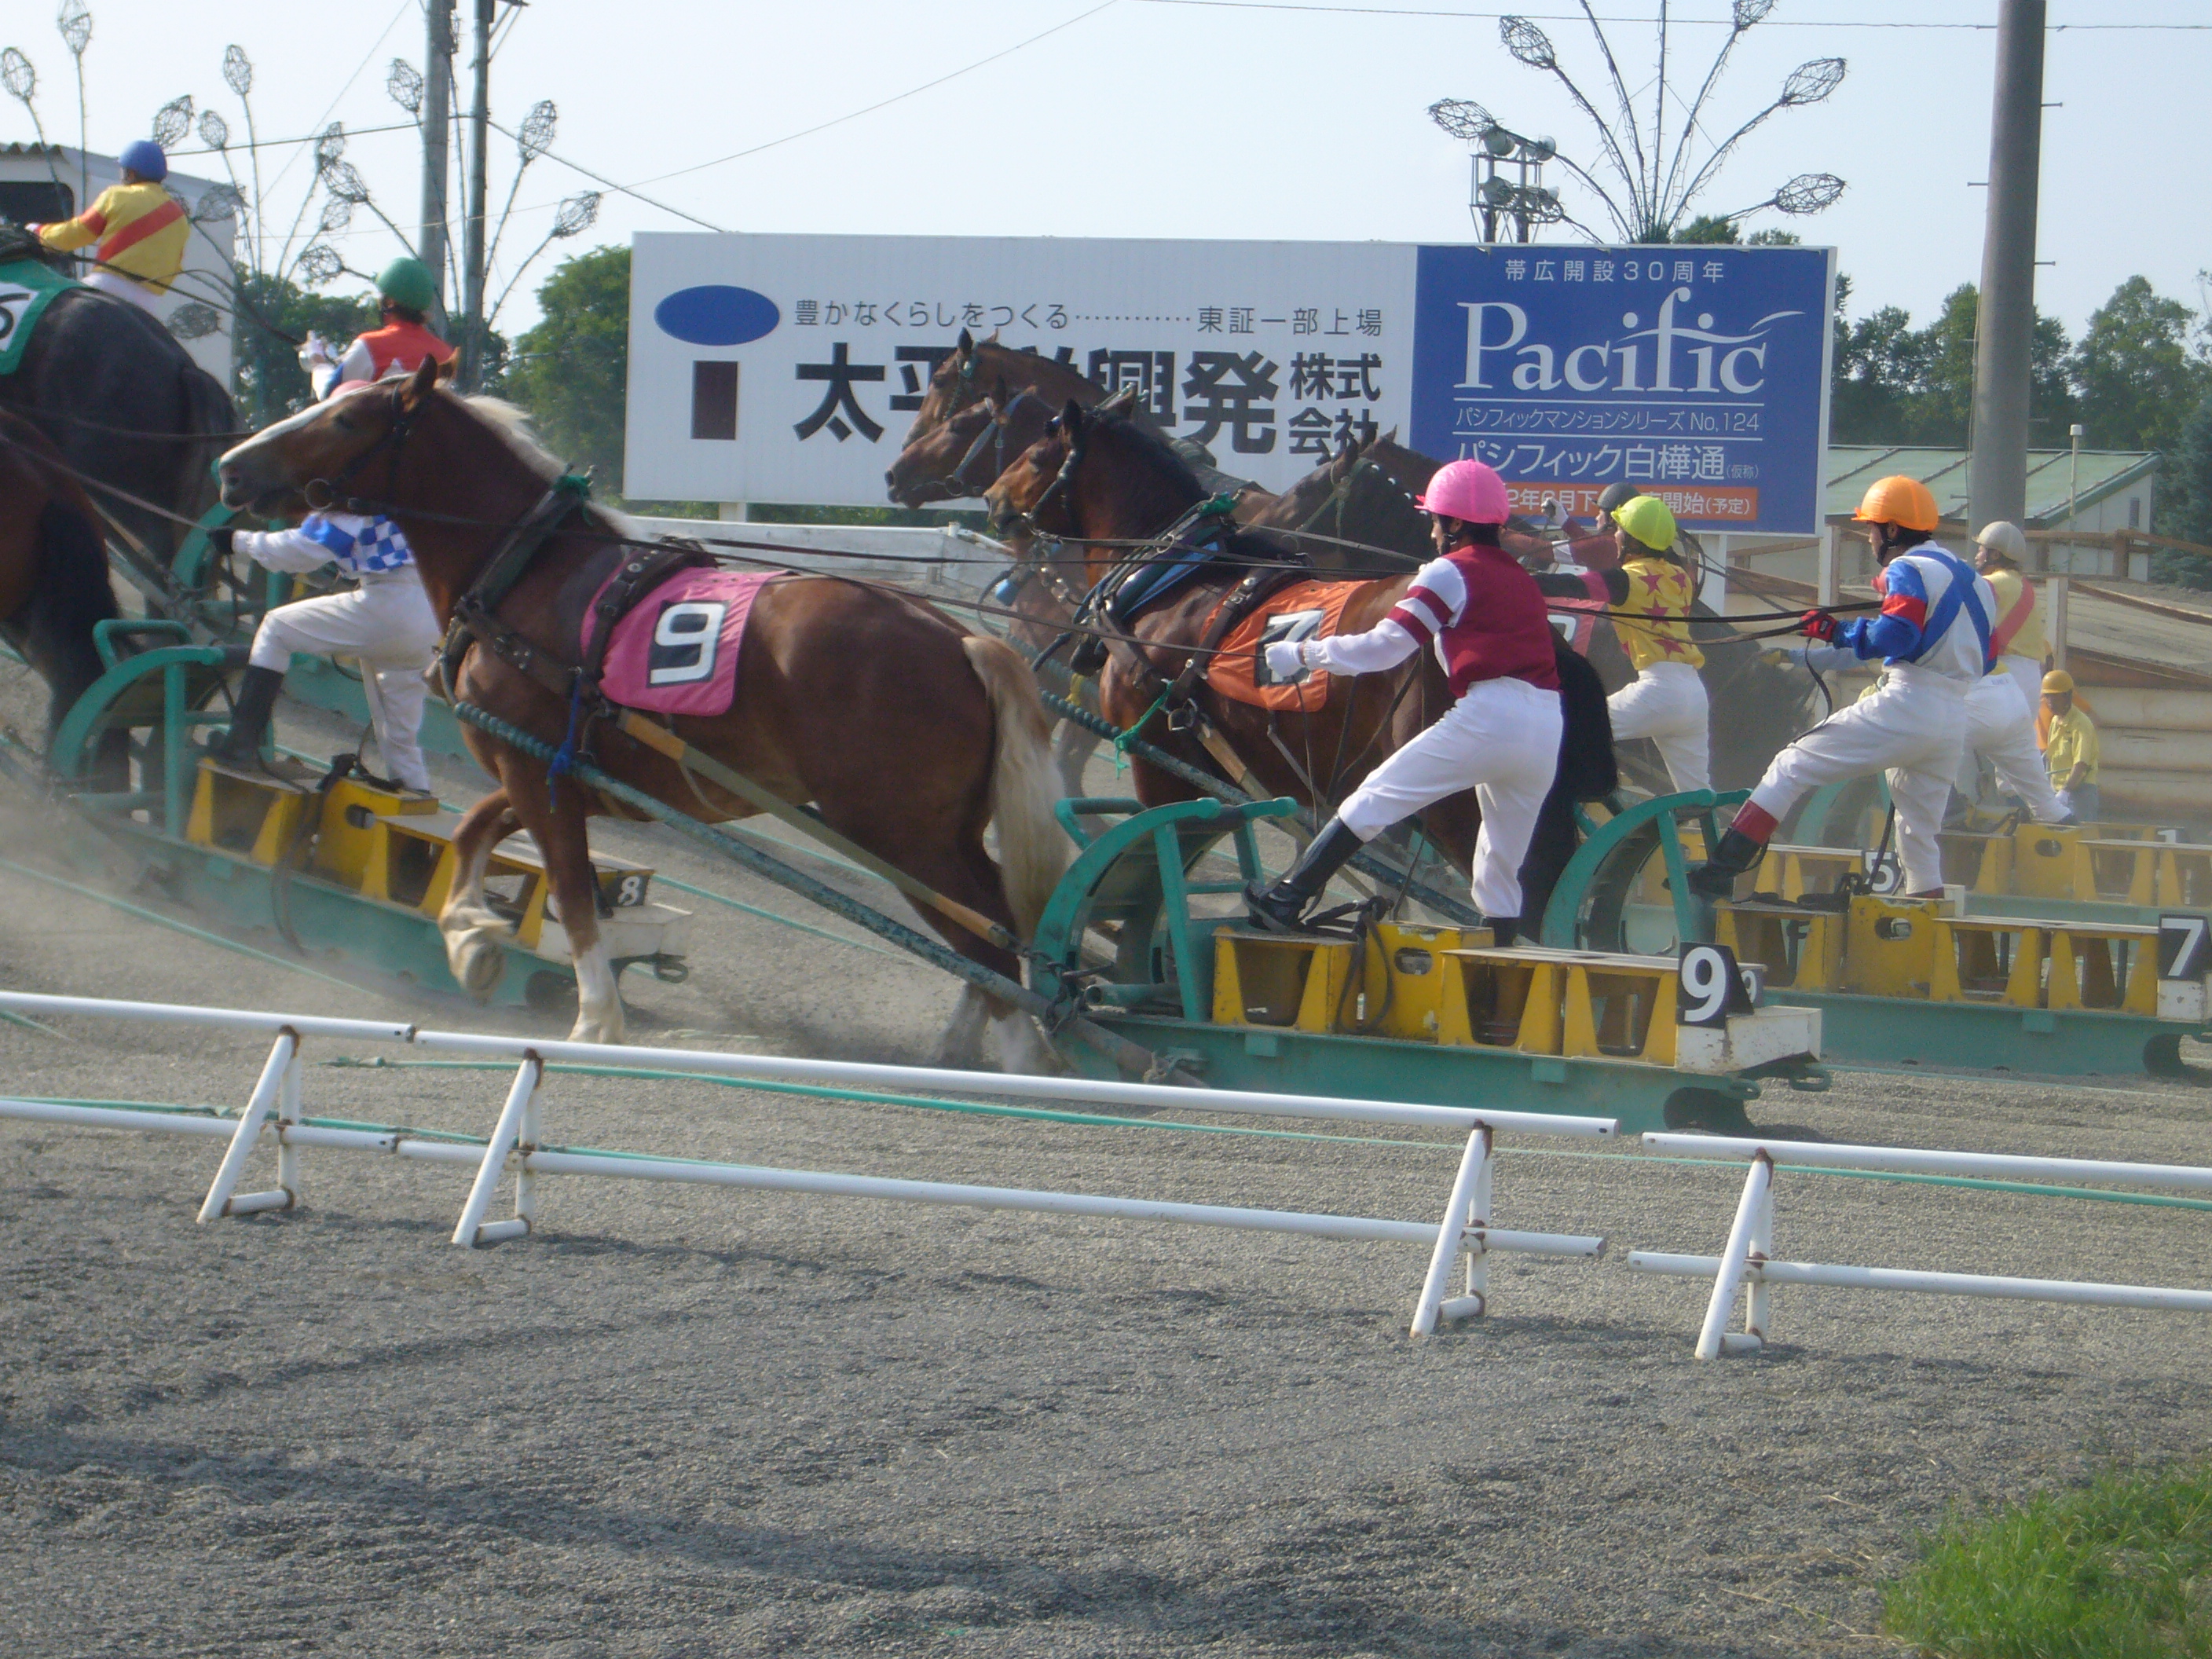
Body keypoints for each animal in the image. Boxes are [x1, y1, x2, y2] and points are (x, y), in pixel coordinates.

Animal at [218, 362, 1070, 1066]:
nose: (230, 467)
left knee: (991, 946)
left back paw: (1026, 1061)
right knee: (997, 932)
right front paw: (470, 937)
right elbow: (473, 833)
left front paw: (595, 1018)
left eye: (346, 421)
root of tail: (960, 638)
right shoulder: (549, 768)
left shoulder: (537, 772)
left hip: (900, 836)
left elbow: (569, 887)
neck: (531, 568)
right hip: (941, 836)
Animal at [982, 397, 1610, 928]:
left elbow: (1158, 853)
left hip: (1457, 791)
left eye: (1037, 456)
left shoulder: (1160, 754)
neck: (1175, 581)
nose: (992, 500)